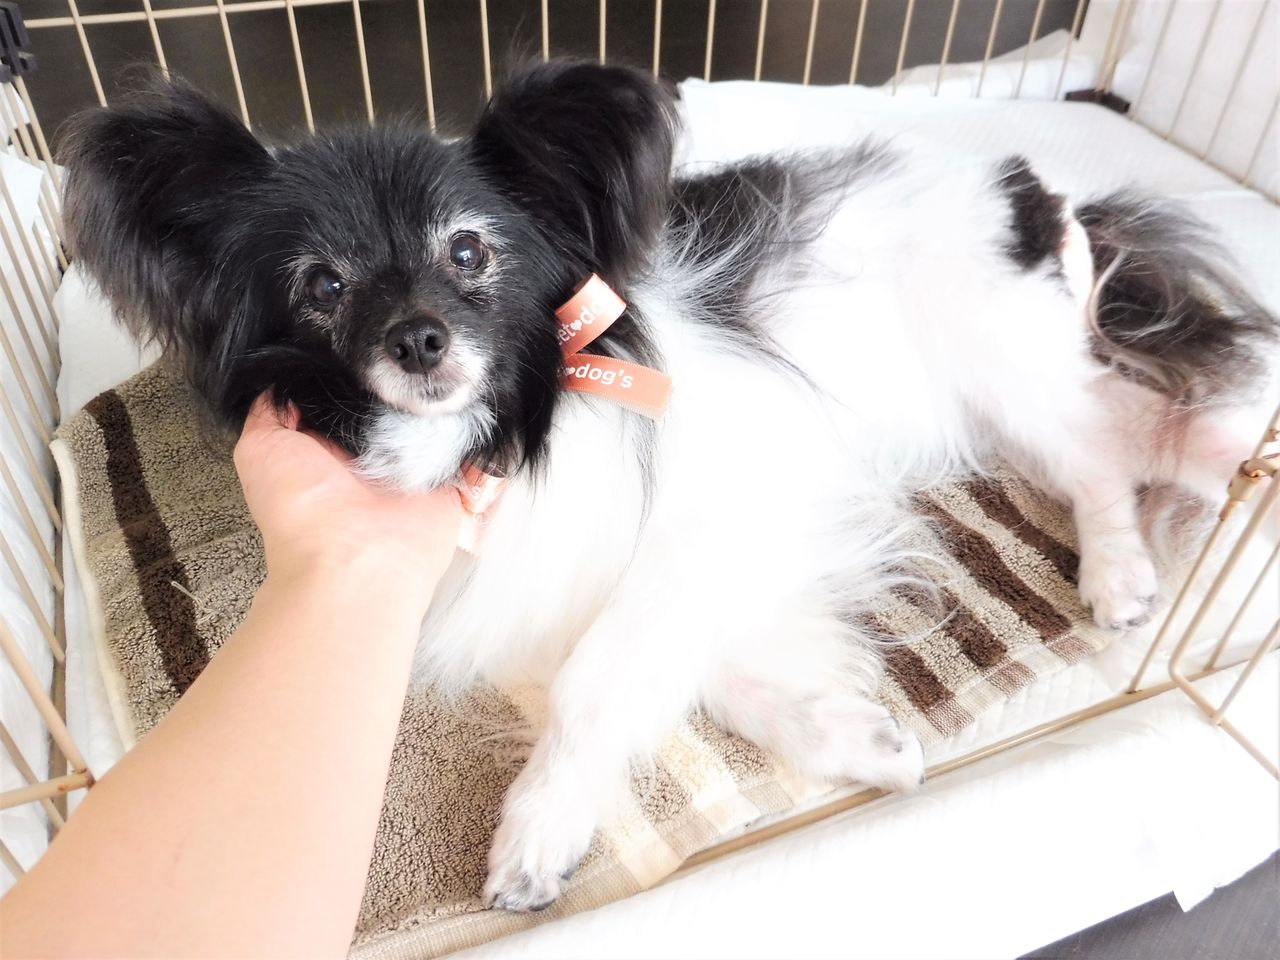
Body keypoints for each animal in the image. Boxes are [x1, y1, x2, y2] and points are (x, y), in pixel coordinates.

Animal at [61, 61, 1277, 911]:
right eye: (322, 286)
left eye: (470, 254)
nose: (417, 340)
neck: (506, 432)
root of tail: (1031, 186)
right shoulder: (598, 578)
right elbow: (712, 674)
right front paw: (857, 741)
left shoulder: (716, 516)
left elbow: (602, 681)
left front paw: (537, 836)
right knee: (1145, 432)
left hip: (1000, 370)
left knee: (1103, 458)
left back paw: (1122, 570)